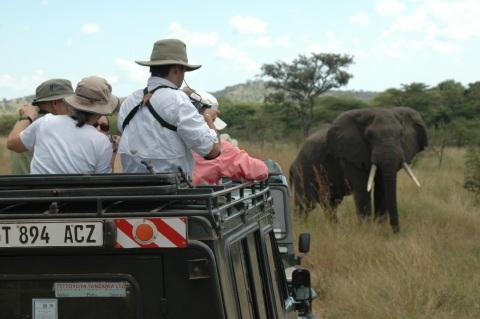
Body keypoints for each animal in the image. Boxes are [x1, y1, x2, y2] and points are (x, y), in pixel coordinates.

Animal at [288, 106, 428, 234]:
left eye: (401, 134)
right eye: (369, 136)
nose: (397, 232)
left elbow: (382, 189)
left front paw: (379, 229)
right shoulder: (351, 155)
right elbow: (362, 190)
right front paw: (368, 232)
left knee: (330, 204)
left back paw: (335, 229)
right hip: (303, 170)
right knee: (305, 204)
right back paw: (302, 228)